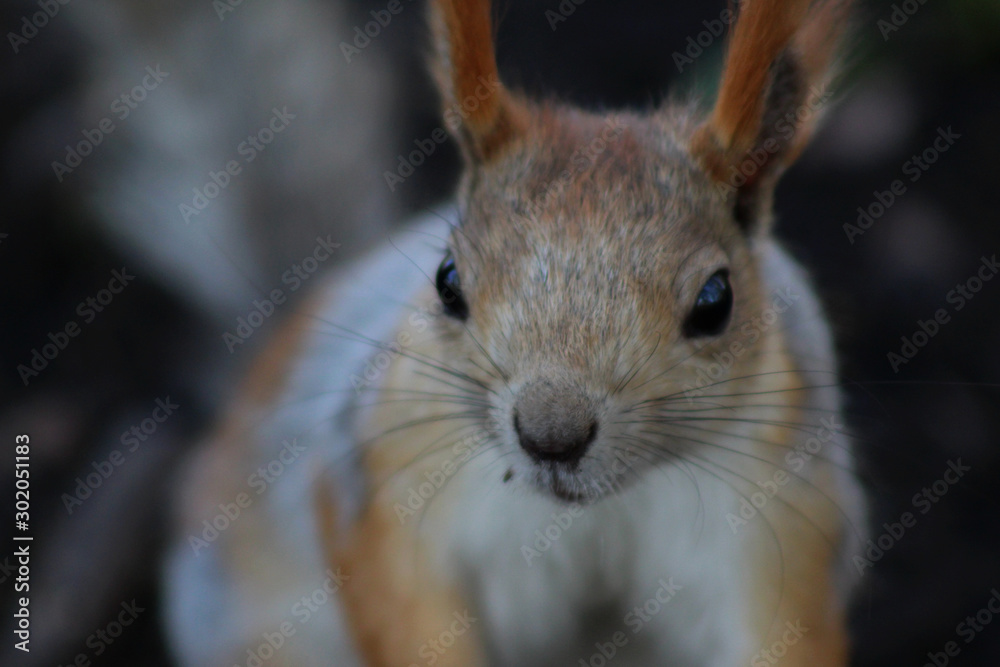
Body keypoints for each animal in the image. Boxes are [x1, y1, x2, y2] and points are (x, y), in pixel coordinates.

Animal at [164, 0, 866, 665]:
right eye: (447, 281)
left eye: (716, 302)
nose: (551, 437)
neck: (599, 510)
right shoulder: (385, 478)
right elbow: (406, 609)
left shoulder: (783, 510)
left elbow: (784, 634)